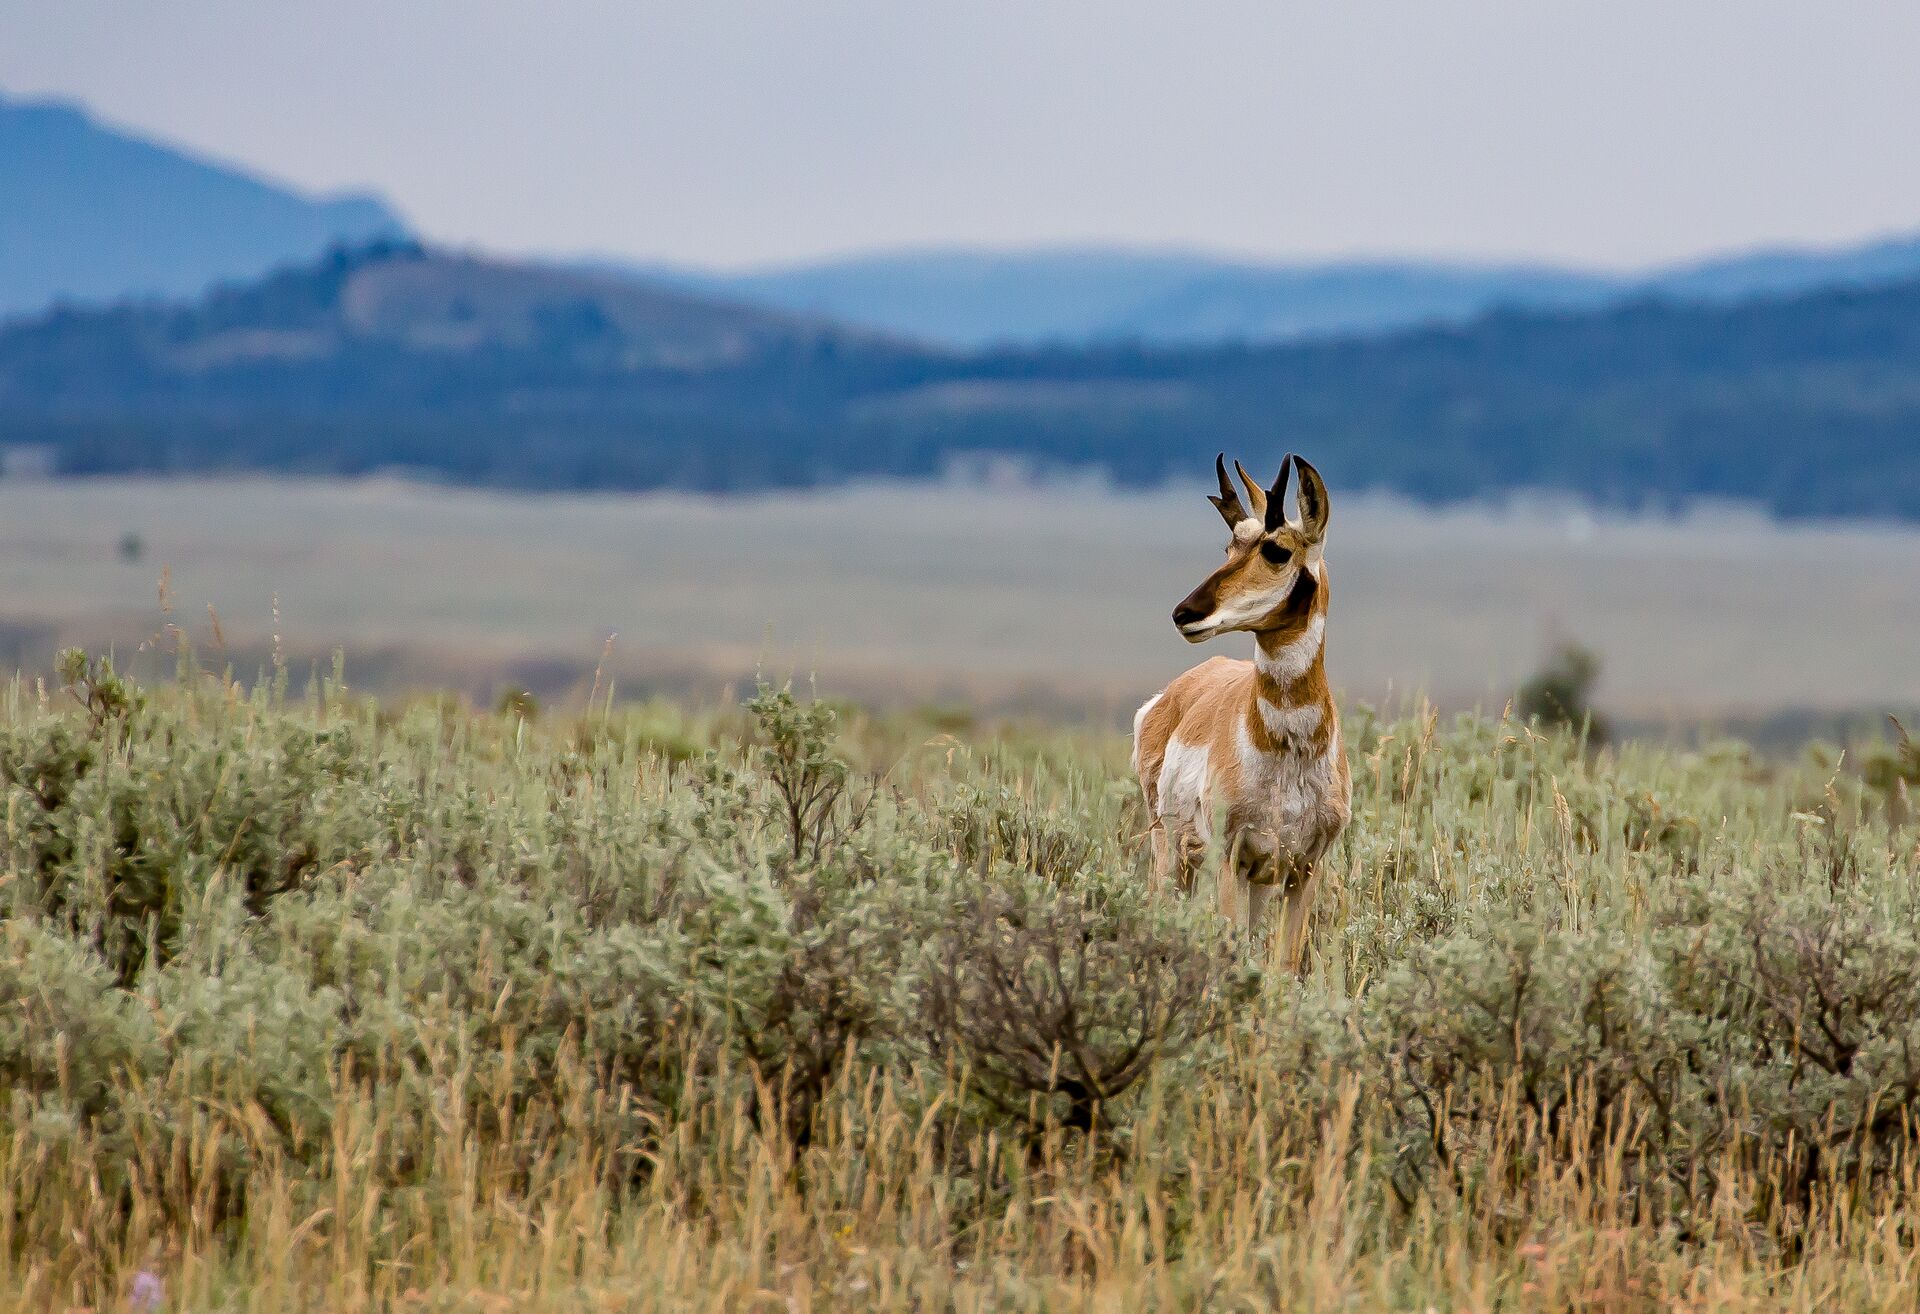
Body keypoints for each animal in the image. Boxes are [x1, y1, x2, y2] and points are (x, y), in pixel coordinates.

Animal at [1132, 452, 1351, 970]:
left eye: (1276, 550)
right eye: (1230, 546)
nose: (1184, 613)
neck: (1289, 753)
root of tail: (1171, 695)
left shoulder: (1303, 868)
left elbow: (1283, 965)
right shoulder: (1233, 858)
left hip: (1255, 882)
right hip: (1173, 854)